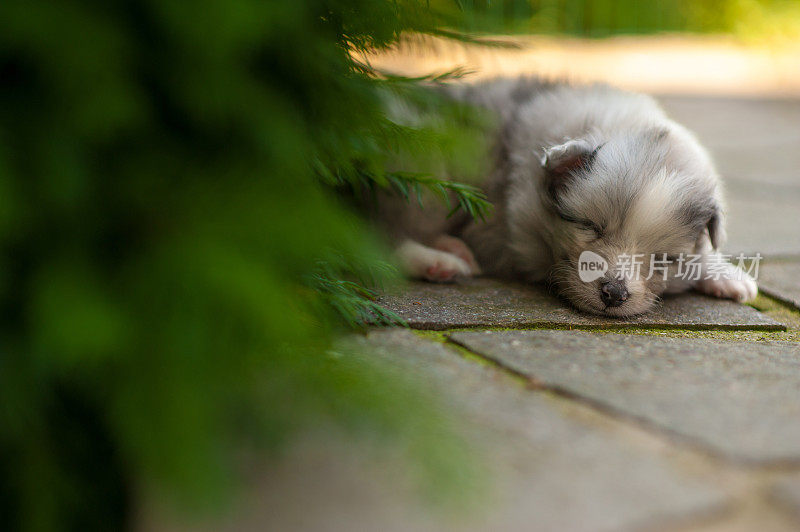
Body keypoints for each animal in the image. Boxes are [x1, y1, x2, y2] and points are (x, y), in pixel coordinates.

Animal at [388, 79, 756, 316]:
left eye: (664, 259)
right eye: (590, 226)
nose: (613, 294)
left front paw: (728, 275)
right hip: (424, 172)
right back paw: (438, 260)